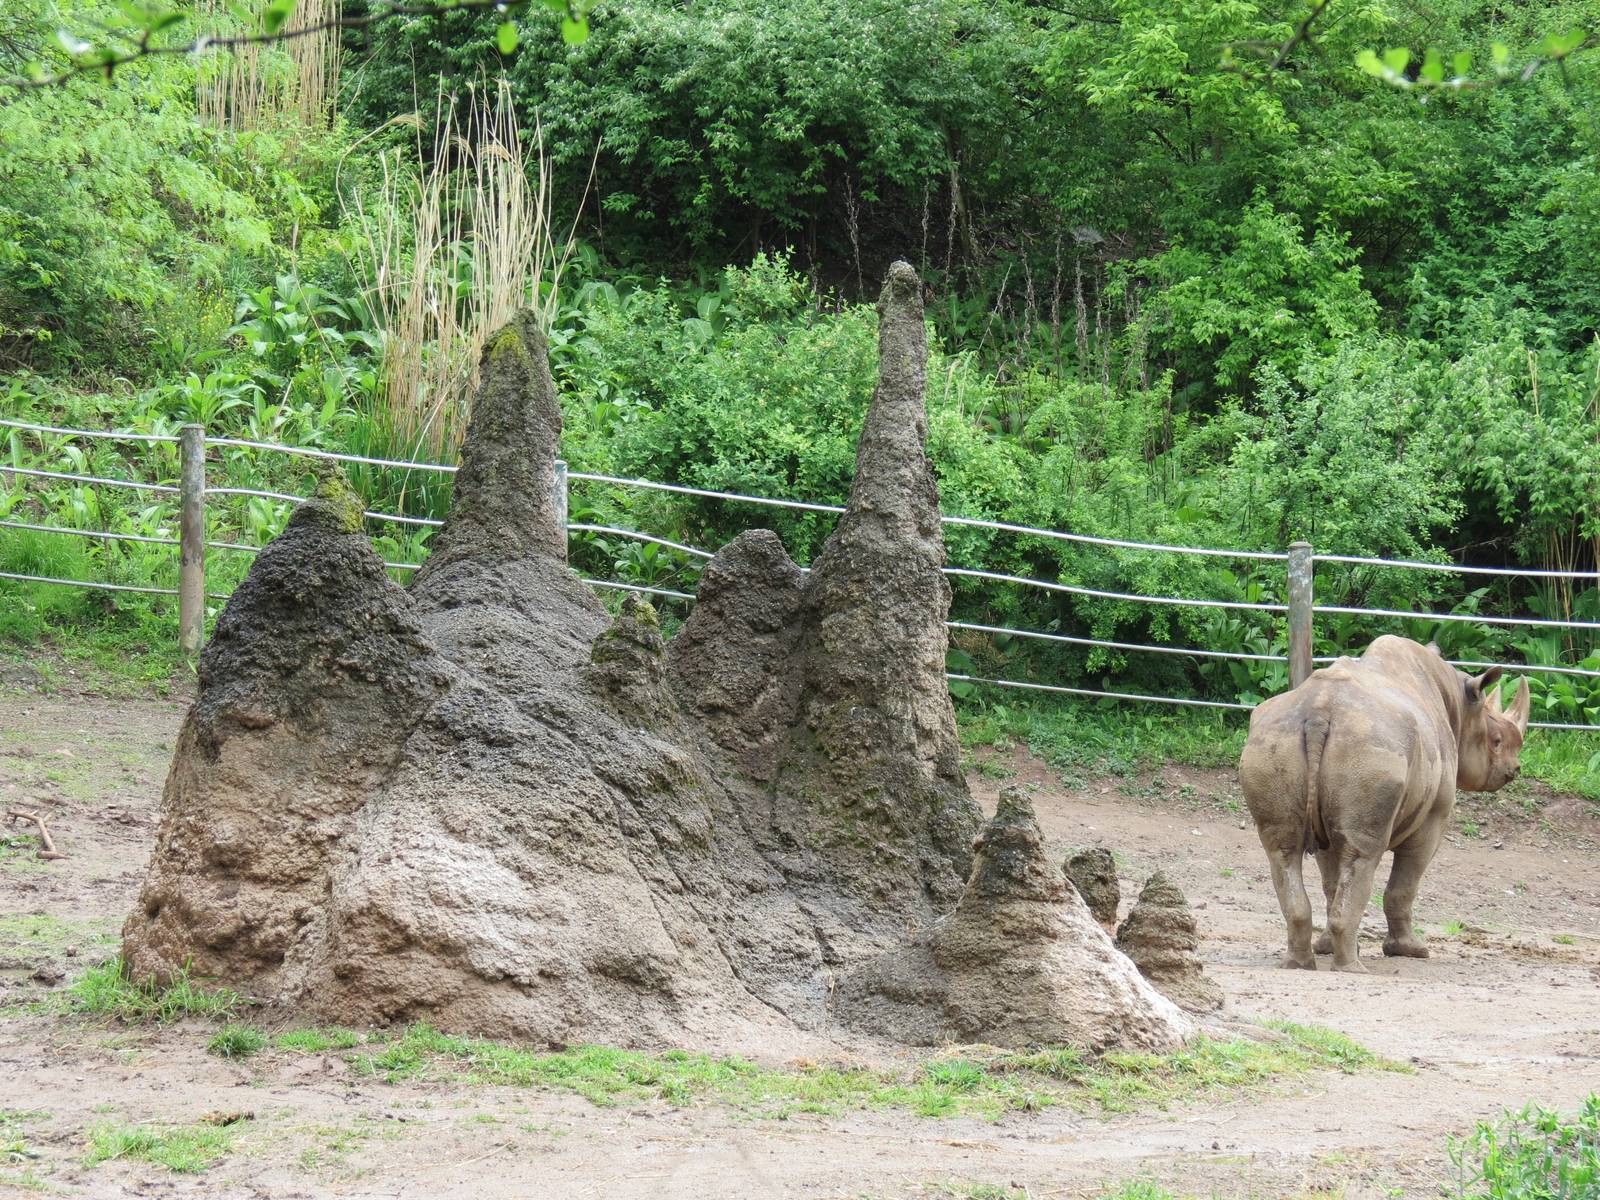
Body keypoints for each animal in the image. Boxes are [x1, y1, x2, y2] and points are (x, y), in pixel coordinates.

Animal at [1239, 635, 1530, 973]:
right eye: (1496, 741)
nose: (1514, 770)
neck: (1458, 702)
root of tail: (1319, 710)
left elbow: (1331, 882)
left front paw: (1326, 947)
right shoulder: (1433, 819)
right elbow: (1403, 887)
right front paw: (1411, 950)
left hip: (1273, 743)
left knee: (1283, 852)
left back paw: (1299, 964)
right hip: (1369, 748)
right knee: (1363, 856)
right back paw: (1352, 969)